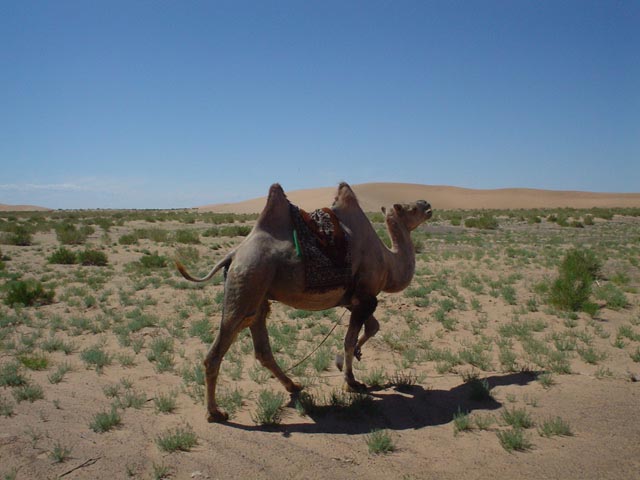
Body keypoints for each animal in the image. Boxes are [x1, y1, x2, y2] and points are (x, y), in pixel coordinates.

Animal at [175, 182, 432, 422]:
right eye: (409, 208)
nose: (427, 203)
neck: (389, 263)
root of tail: (233, 254)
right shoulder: (365, 297)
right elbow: (349, 340)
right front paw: (351, 381)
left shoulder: (355, 299)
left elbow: (372, 327)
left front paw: (346, 361)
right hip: (247, 281)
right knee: (217, 351)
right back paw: (215, 412)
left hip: (258, 296)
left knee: (262, 347)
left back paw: (294, 385)